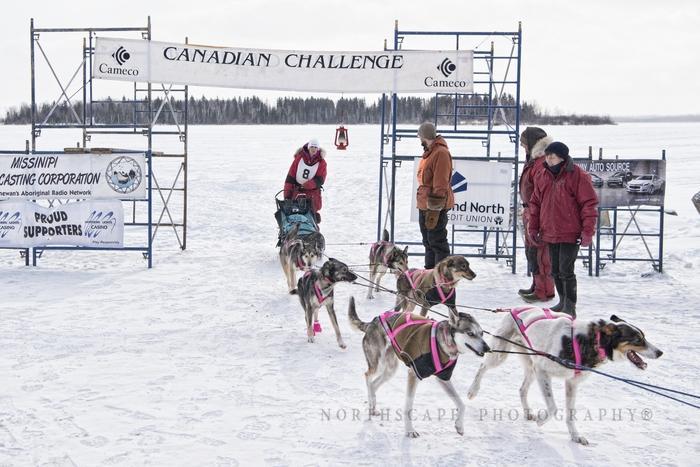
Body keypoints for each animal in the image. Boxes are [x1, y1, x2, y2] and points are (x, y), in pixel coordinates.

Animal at [348, 297, 489, 437]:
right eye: (470, 333)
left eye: (482, 333)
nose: (487, 348)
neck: (443, 343)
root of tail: (373, 321)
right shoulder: (414, 374)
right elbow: (408, 407)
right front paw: (410, 430)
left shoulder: (443, 378)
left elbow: (461, 404)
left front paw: (459, 425)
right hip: (377, 363)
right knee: (368, 376)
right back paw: (371, 402)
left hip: (391, 369)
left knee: (374, 384)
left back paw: (373, 405)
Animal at [467, 306, 663, 445]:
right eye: (637, 339)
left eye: (644, 337)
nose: (660, 352)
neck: (589, 341)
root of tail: (514, 309)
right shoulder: (543, 371)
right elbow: (553, 407)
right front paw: (541, 420)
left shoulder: (571, 383)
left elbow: (570, 413)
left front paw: (575, 436)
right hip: (501, 356)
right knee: (483, 366)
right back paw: (472, 390)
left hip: (531, 366)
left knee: (522, 389)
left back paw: (528, 412)